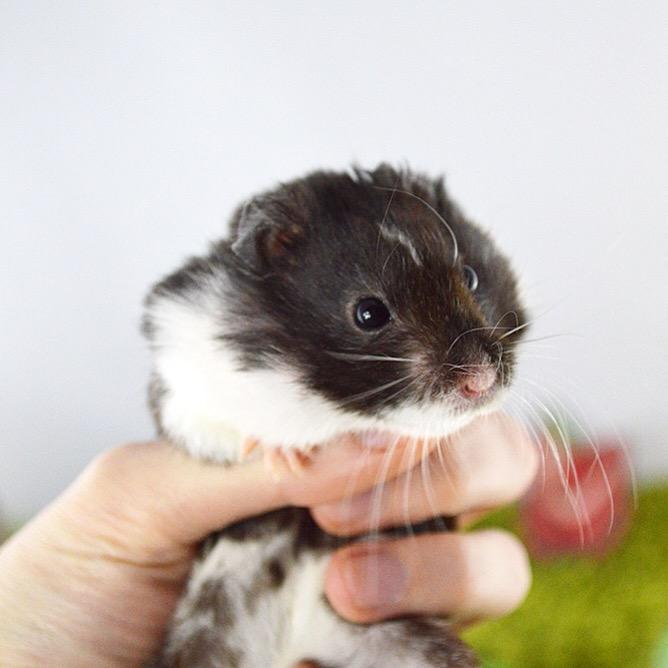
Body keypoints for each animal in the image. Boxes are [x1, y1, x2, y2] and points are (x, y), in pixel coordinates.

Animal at [143, 164, 527, 667]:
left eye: (471, 276)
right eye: (368, 313)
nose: (481, 381)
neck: (313, 392)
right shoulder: (178, 366)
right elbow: (205, 424)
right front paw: (283, 456)